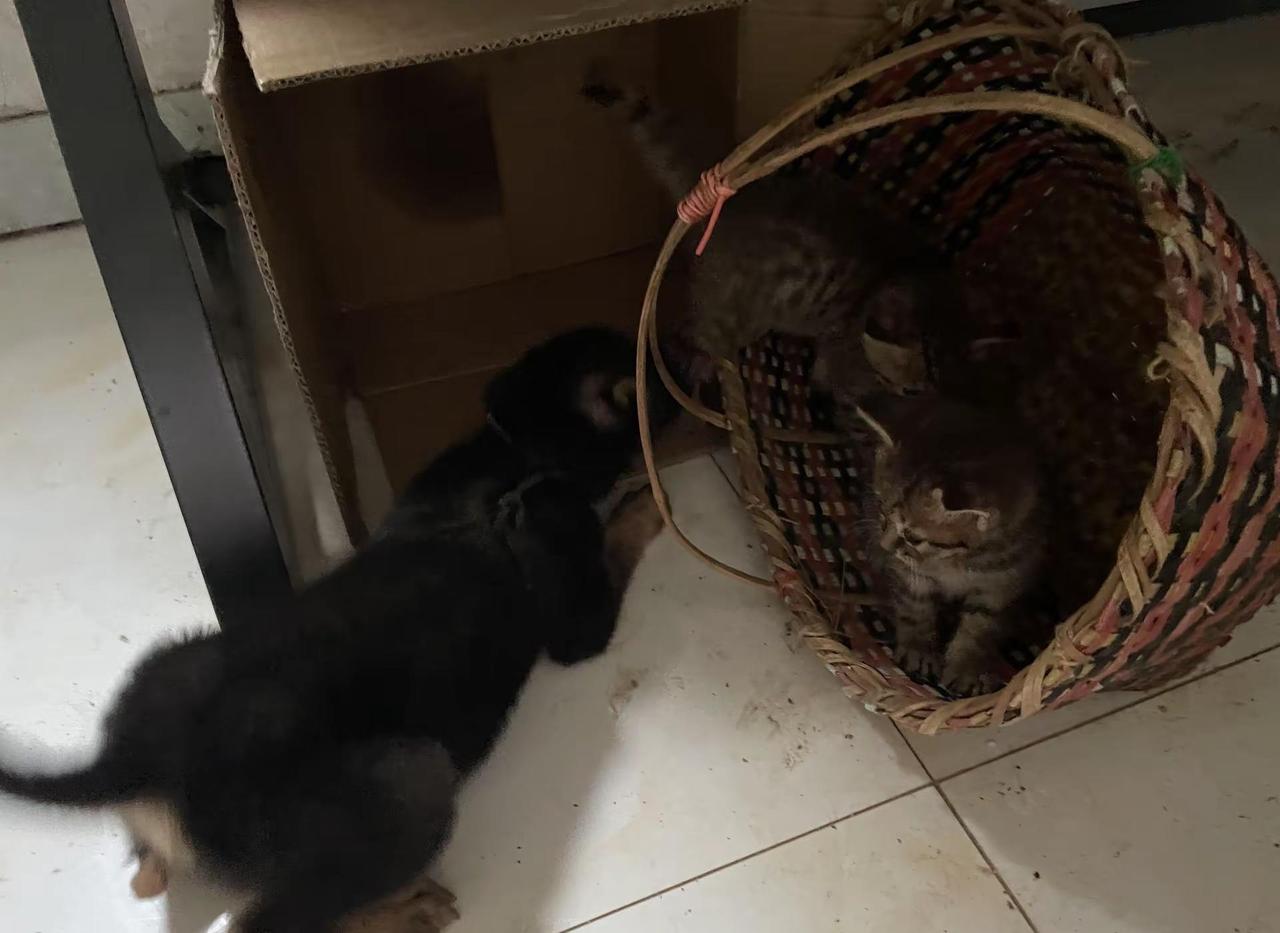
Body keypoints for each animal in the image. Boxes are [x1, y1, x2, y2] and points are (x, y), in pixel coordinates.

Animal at [0, 327, 673, 933]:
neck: (517, 454)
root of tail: (133, 761)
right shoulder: (576, 624)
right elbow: (616, 541)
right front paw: (650, 502)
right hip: (412, 782)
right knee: (268, 922)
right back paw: (405, 910)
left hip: (171, 661)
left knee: (148, 875)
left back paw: (154, 863)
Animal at [857, 394, 1048, 696]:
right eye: (882, 510)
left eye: (914, 537)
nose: (886, 547)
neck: (956, 562)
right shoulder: (911, 575)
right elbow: (916, 607)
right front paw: (919, 649)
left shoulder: (1003, 584)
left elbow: (980, 627)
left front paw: (966, 667)